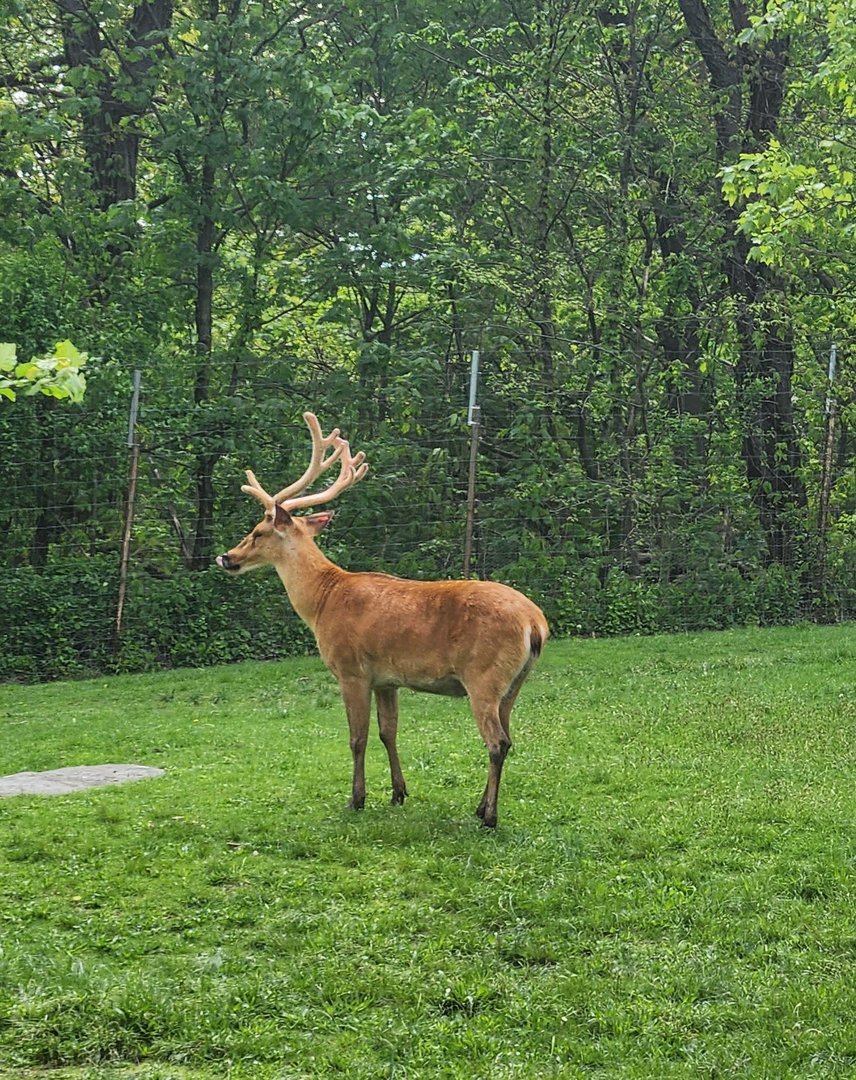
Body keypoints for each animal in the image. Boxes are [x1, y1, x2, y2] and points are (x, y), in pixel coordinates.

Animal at [216, 412, 549, 828]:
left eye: (258, 532)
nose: (226, 557)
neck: (322, 601)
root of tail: (535, 623)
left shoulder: (351, 669)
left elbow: (357, 738)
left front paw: (356, 799)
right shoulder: (387, 679)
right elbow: (388, 732)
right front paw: (398, 793)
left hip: (483, 676)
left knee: (497, 741)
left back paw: (488, 817)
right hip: (515, 682)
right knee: (509, 736)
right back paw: (480, 806)